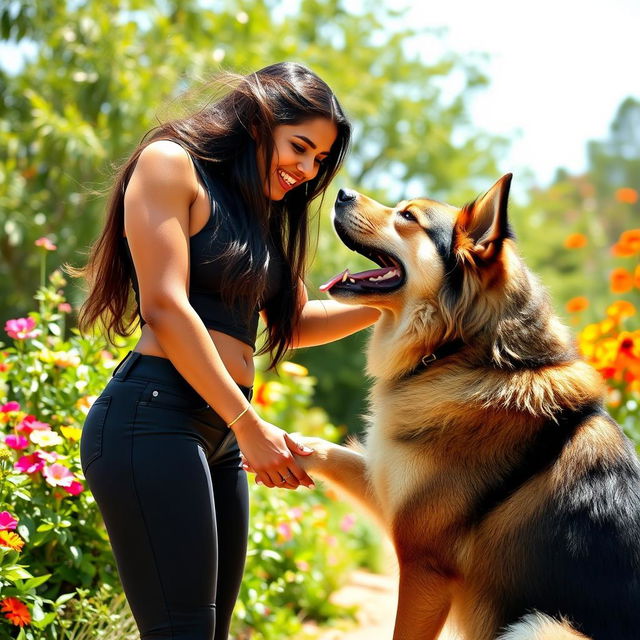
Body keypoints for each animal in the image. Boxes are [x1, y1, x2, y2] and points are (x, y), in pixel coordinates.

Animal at [292, 172, 640, 636]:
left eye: (408, 216)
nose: (342, 192)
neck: (457, 351)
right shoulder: (391, 495)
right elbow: (324, 448)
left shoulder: (424, 566)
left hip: (542, 625)